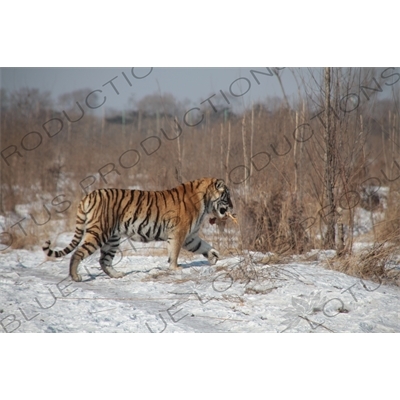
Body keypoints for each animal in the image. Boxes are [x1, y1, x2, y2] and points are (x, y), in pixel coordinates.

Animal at [42, 177, 233, 282]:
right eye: (227, 196)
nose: (232, 206)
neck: (206, 203)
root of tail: (89, 195)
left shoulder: (190, 237)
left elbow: (204, 246)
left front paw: (214, 256)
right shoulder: (179, 233)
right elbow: (174, 253)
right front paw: (175, 268)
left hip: (112, 238)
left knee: (104, 260)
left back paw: (117, 275)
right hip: (99, 233)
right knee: (78, 253)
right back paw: (75, 277)